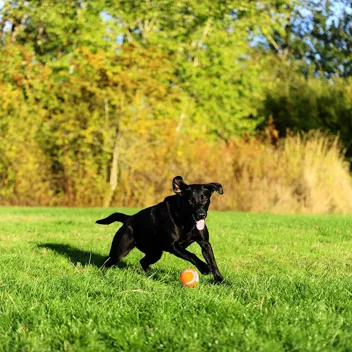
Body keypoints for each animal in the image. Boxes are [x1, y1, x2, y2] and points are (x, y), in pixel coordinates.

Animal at [95, 177, 223, 282]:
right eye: (190, 200)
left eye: (205, 198)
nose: (201, 215)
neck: (186, 221)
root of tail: (128, 218)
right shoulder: (174, 246)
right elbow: (191, 255)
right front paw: (204, 268)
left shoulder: (205, 244)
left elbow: (213, 262)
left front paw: (220, 281)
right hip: (120, 251)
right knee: (107, 262)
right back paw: (103, 275)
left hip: (155, 252)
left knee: (143, 261)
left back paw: (152, 274)